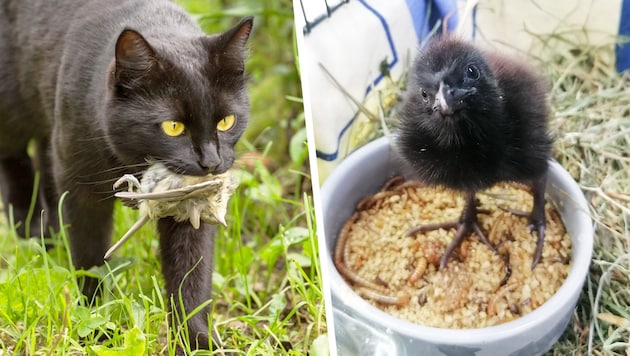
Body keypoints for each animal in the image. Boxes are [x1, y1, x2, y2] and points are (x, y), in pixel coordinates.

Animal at [0, 0, 252, 350]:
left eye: (226, 121)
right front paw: (94, 323)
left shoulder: (191, 204)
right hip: (14, 105)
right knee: (14, 155)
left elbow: (191, 271)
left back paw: (49, 231)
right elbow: (90, 259)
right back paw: (29, 225)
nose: (210, 161)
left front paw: (196, 340)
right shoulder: (81, 189)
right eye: (173, 127)